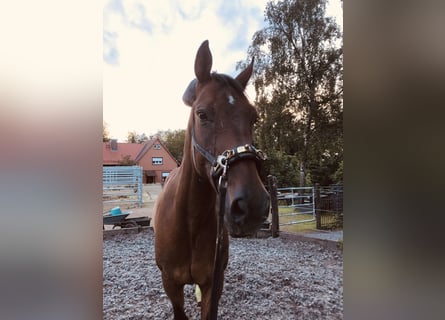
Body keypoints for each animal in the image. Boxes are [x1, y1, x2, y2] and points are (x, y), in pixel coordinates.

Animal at [153, 40, 270, 320]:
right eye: (202, 114)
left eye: (254, 117)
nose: (252, 205)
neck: (189, 221)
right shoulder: (170, 284)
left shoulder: (213, 284)